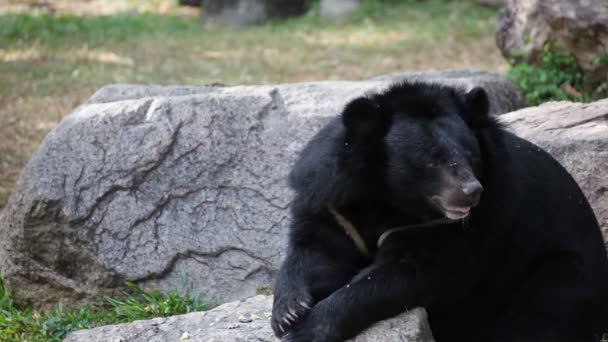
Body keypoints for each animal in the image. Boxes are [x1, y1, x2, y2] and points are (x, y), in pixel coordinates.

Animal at [270, 83, 608, 342]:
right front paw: (288, 312)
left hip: (560, 271)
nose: (472, 191)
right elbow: (317, 250)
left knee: (543, 312)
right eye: (432, 160)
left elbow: (408, 274)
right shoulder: (334, 200)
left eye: (470, 155)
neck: (389, 199)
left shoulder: (456, 227)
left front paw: (306, 330)